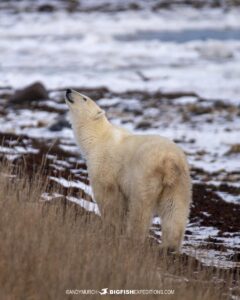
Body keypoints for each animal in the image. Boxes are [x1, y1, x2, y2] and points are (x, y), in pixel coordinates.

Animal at [65, 89, 191, 251]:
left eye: (85, 98)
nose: (68, 90)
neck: (97, 137)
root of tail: (169, 161)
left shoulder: (104, 165)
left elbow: (108, 197)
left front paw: (111, 226)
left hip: (145, 174)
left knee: (140, 208)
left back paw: (132, 238)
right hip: (179, 182)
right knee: (174, 209)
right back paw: (169, 246)